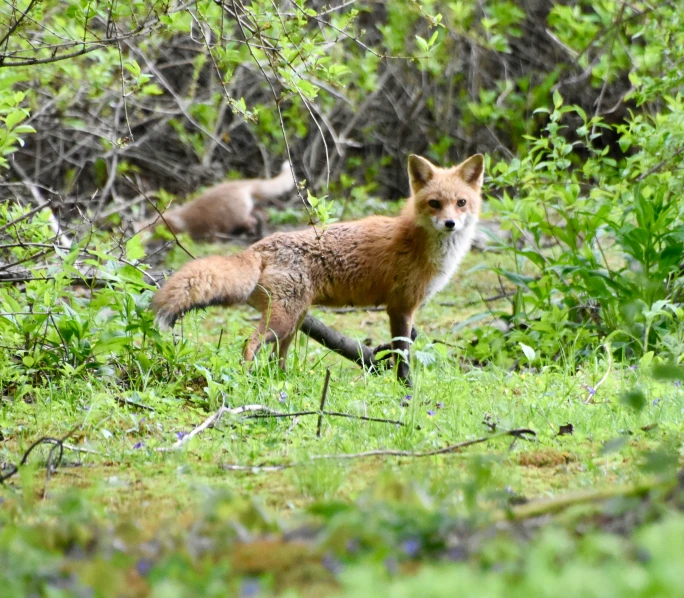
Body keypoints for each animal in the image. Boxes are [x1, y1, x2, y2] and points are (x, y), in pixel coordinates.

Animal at [152, 155, 484, 386]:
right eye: (434, 203)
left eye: (461, 203)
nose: (450, 223)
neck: (419, 243)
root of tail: (257, 247)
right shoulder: (401, 307)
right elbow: (403, 357)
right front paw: (406, 391)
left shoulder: (404, 310)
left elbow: (404, 348)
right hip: (283, 320)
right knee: (250, 344)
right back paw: (245, 379)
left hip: (294, 320)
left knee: (276, 358)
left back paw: (283, 383)